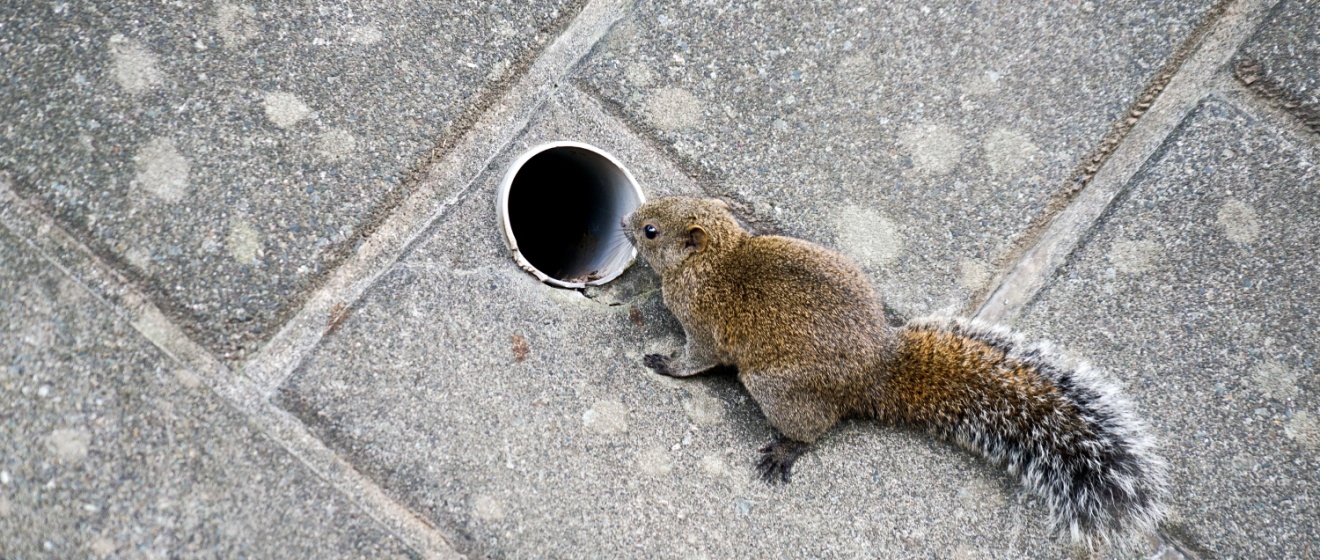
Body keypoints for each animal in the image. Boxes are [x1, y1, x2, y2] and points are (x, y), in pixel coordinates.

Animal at [624, 196, 1168, 547]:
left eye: (652, 231)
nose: (627, 221)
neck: (716, 259)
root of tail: (874, 374)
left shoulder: (702, 326)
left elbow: (697, 359)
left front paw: (665, 364)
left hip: (775, 387)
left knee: (816, 427)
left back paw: (785, 449)